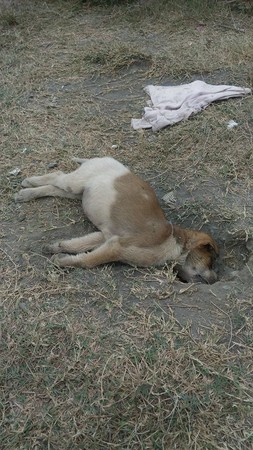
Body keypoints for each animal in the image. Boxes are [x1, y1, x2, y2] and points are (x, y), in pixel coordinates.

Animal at [14, 156, 218, 284]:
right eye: (210, 261)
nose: (216, 280)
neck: (174, 242)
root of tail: (103, 158)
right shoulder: (117, 248)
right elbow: (87, 260)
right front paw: (62, 260)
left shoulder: (107, 237)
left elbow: (80, 244)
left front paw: (57, 247)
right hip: (75, 183)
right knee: (57, 175)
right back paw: (29, 182)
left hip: (77, 192)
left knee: (54, 188)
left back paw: (27, 193)